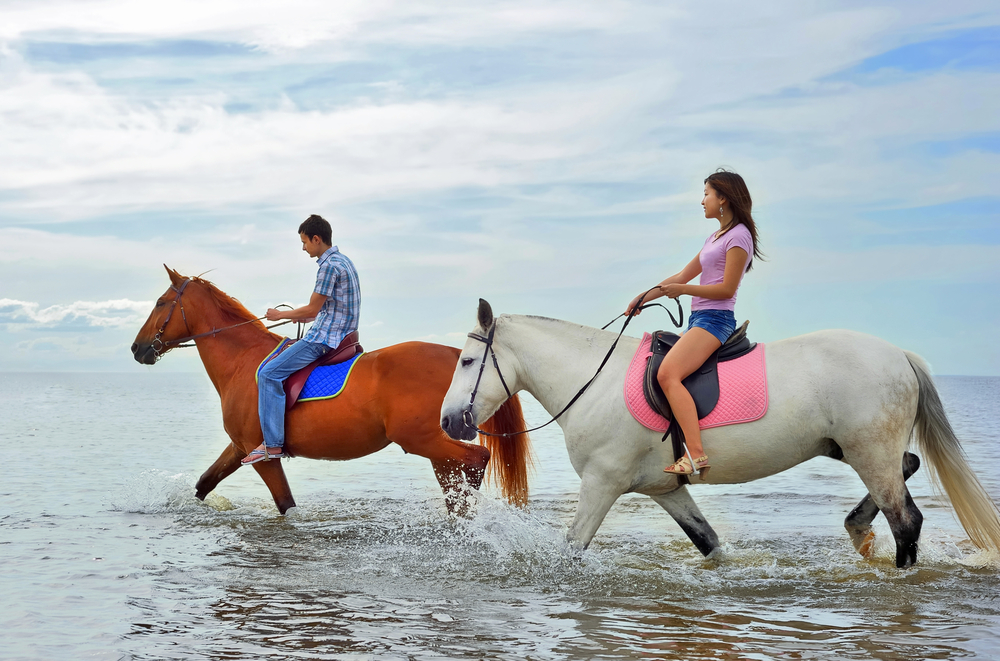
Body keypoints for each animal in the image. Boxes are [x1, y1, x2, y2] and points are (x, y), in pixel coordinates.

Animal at [133, 266, 532, 512]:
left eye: (160, 303)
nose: (138, 348)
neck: (243, 361)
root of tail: (452, 353)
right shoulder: (240, 447)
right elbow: (204, 483)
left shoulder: (263, 455)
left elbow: (286, 505)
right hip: (435, 446)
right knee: (457, 483)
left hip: (422, 440)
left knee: (477, 460)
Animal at [442, 300, 1000, 568]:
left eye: (467, 361)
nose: (450, 422)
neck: (592, 381)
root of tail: (898, 354)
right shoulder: (665, 488)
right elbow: (709, 543)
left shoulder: (602, 483)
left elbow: (572, 547)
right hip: (853, 449)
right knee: (907, 469)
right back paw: (858, 530)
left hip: (869, 452)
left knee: (906, 519)